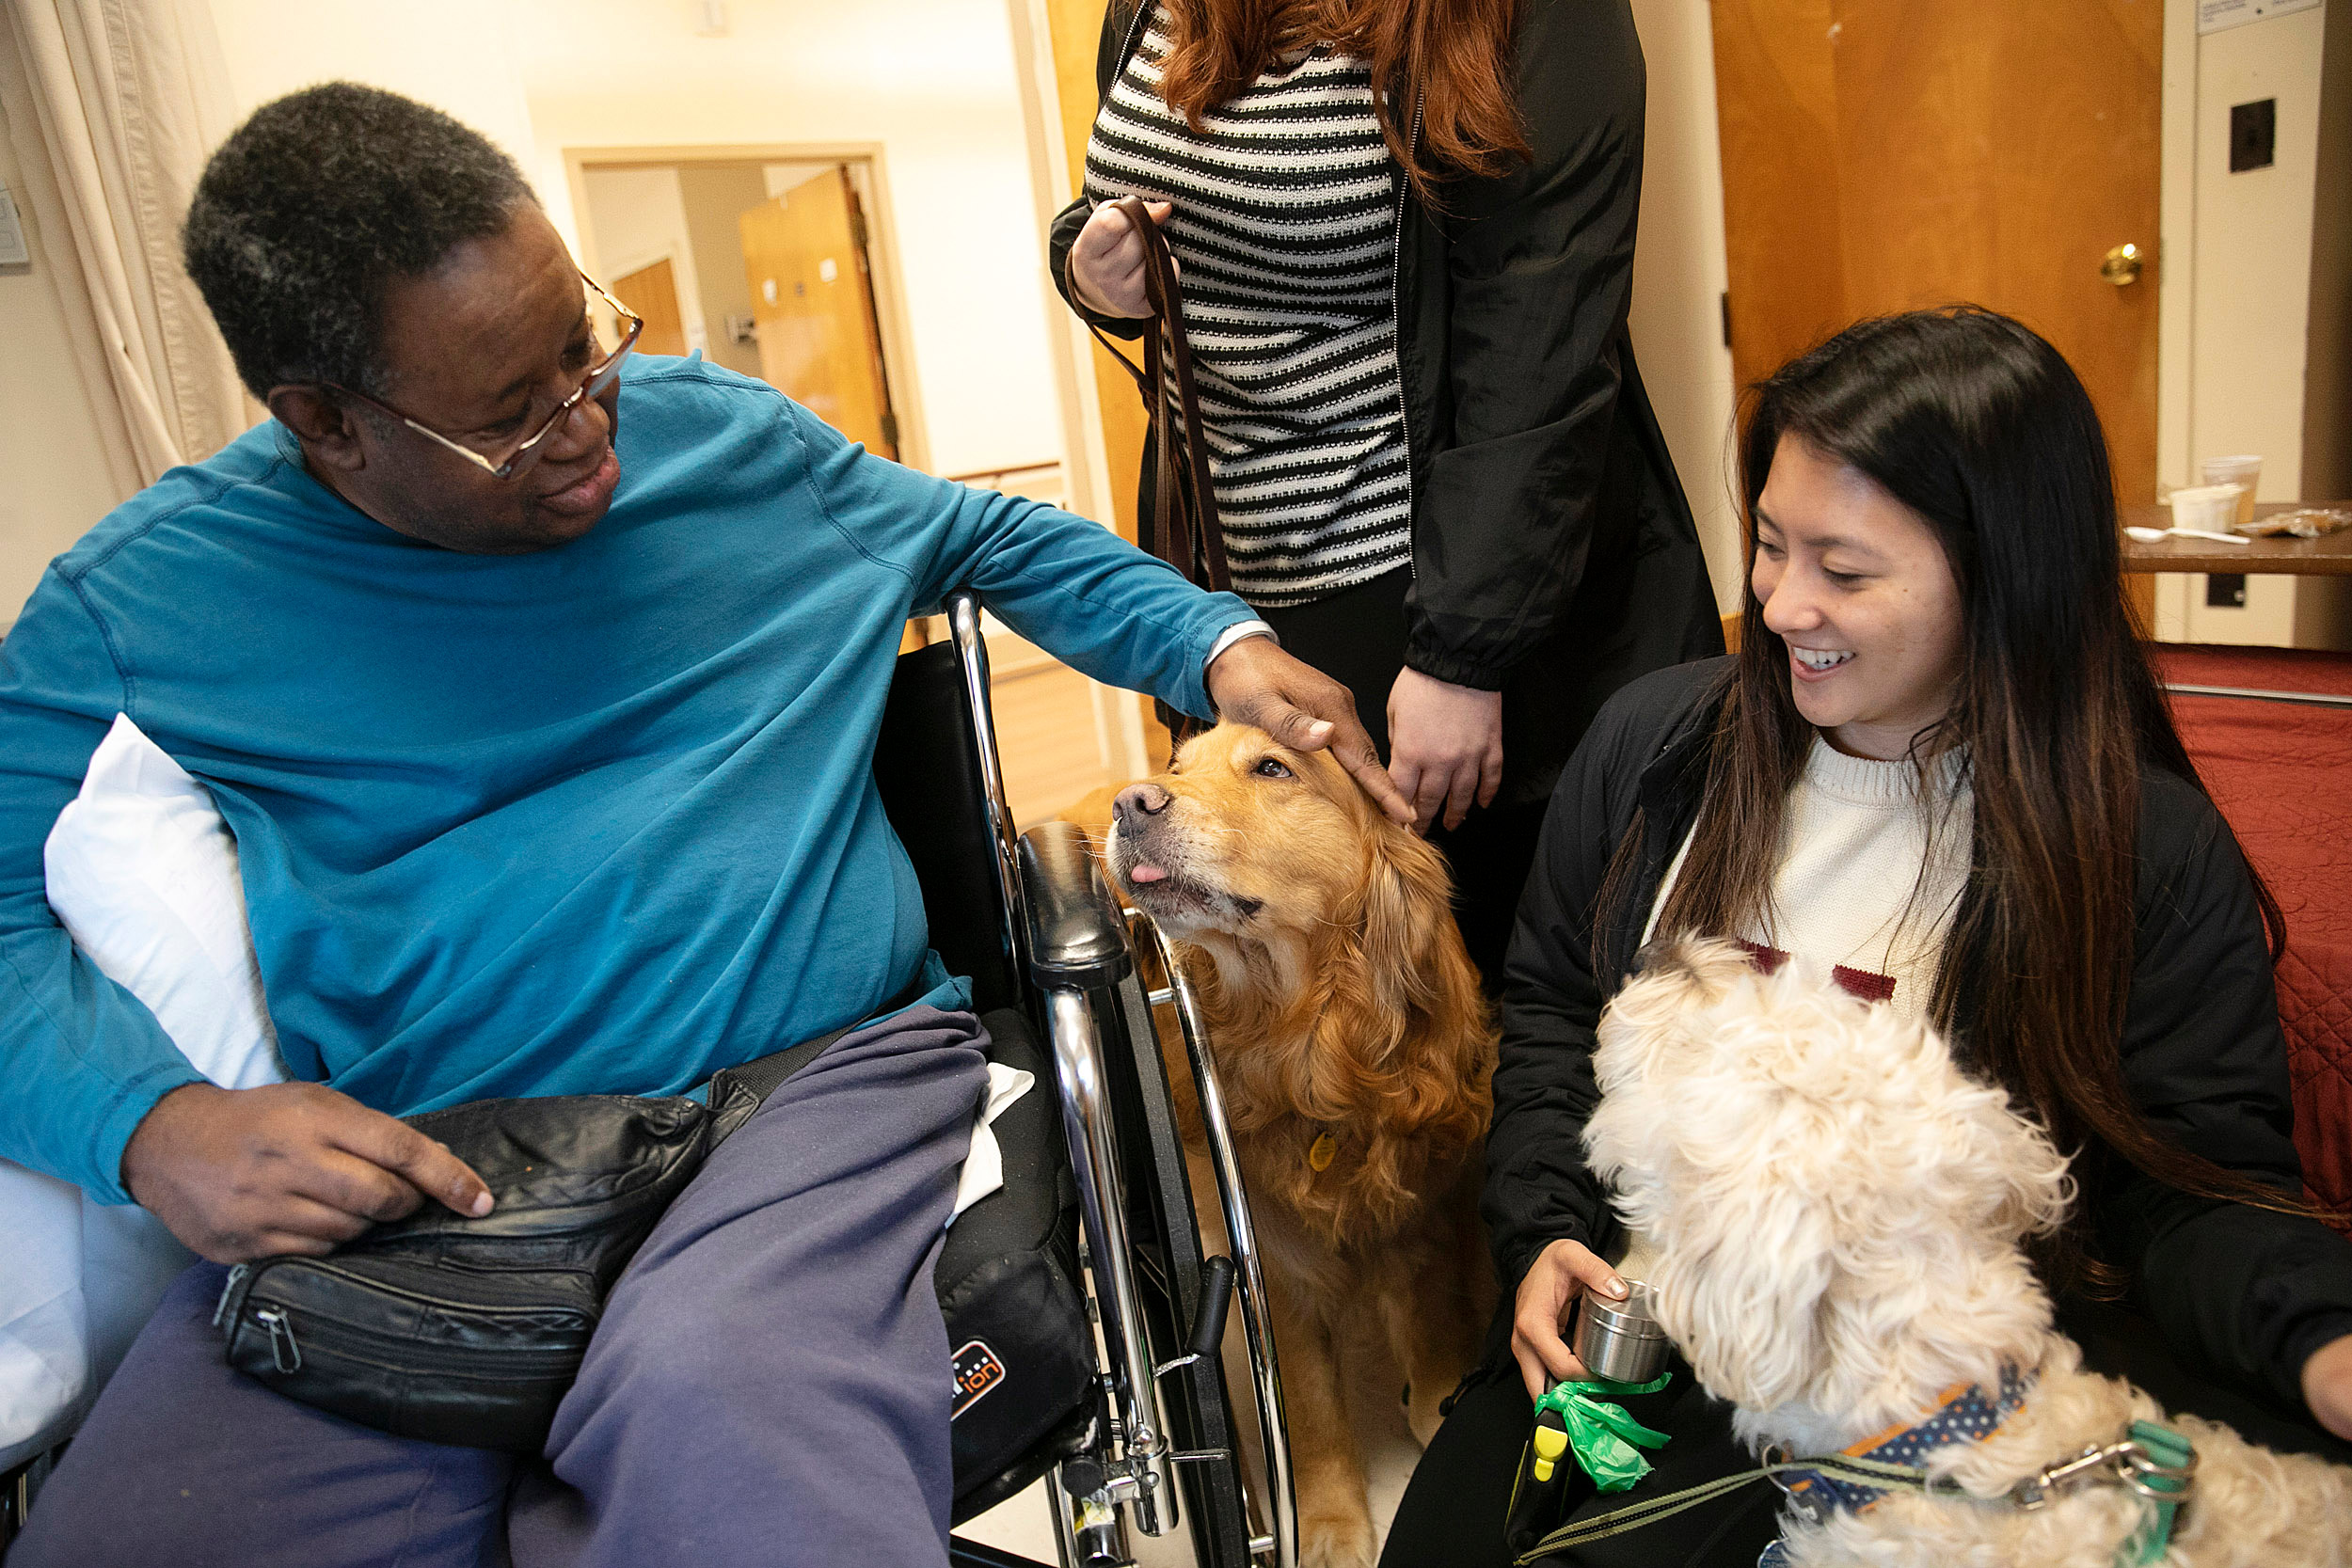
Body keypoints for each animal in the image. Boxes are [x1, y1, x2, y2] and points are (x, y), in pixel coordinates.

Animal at [1068, 728, 1486, 1560]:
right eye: (1177, 767)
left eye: (1272, 766)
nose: (1131, 802)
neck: (1305, 1047)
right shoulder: (1274, 1262)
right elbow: (1309, 1405)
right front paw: (1328, 1523)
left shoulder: (1424, 1209)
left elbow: (1432, 1325)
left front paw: (1442, 1404)